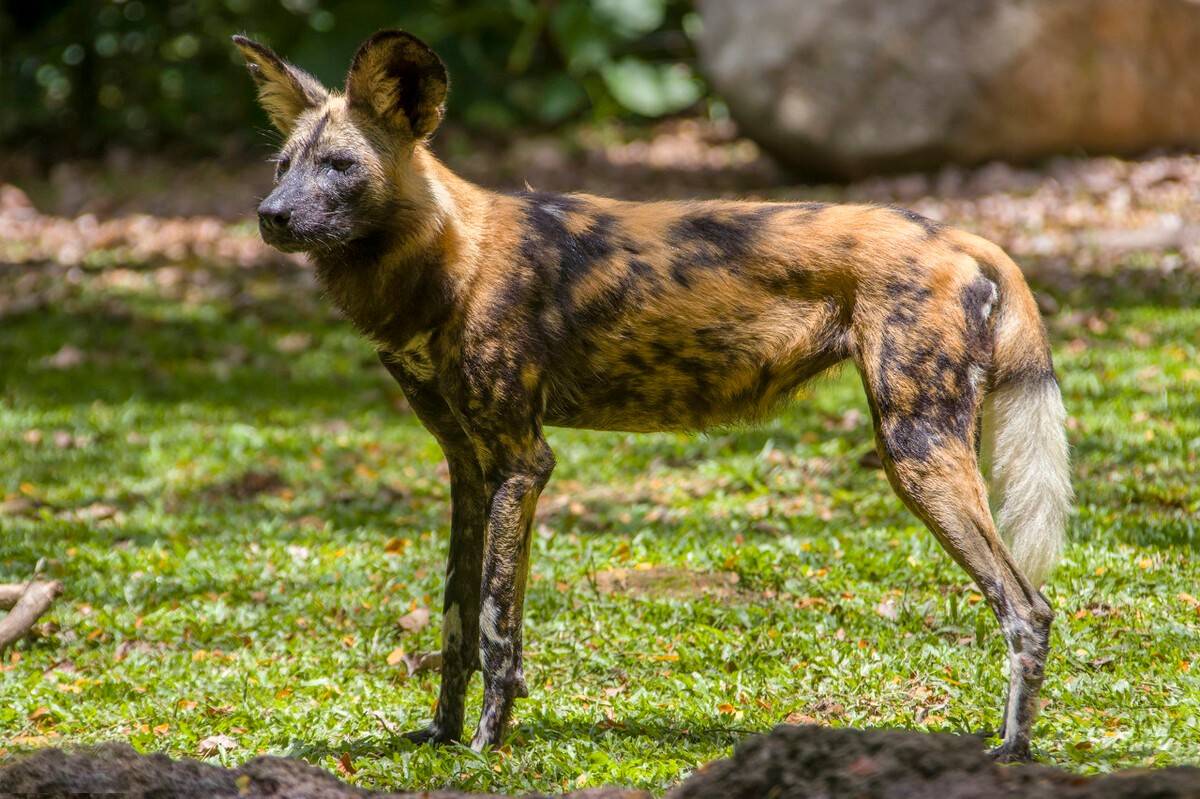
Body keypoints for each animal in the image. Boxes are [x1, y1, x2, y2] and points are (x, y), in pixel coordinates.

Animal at [231, 29, 1070, 753]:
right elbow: (458, 621)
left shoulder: (522, 464)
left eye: (341, 166)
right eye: (281, 167)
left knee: (1026, 607)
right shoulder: (469, 470)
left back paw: (1011, 752)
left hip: (916, 454)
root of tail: (955, 233)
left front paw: (486, 749)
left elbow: (500, 625)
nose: (271, 217)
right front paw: (441, 734)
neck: (445, 260)